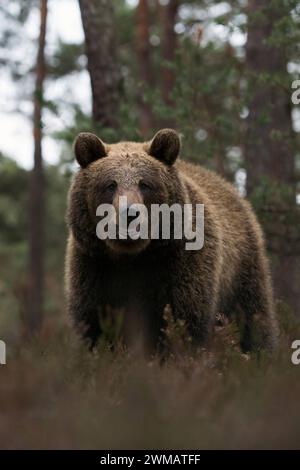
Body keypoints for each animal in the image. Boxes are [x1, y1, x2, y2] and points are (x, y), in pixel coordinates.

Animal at [65, 126, 278, 354]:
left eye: (145, 184)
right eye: (110, 185)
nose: (129, 213)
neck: (133, 256)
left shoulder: (182, 262)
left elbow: (186, 318)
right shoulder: (94, 267)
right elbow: (92, 325)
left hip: (241, 268)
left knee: (254, 316)